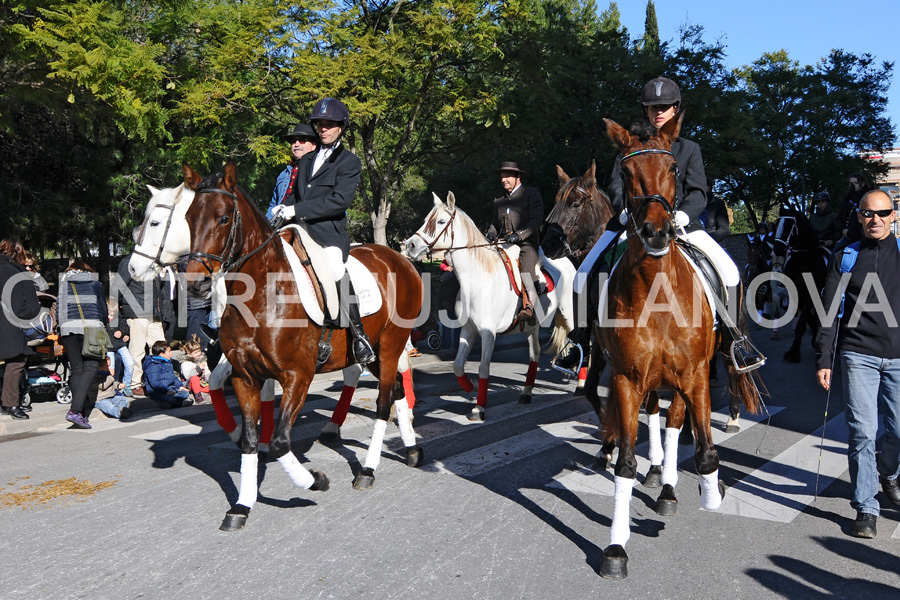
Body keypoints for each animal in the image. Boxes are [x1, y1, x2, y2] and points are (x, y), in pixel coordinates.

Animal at [126, 186, 414, 446]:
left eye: (155, 222)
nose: (133, 268)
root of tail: (397, 257)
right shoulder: (241, 352)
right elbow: (223, 382)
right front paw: (248, 434)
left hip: (383, 340)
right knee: (371, 376)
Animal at [182, 163, 426, 528]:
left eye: (224, 218)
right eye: (188, 217)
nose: (195, 285)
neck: (261, 293)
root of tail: (399, 258)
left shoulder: (298, 375)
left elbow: (281, 443)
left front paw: (315, 480)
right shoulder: (244, 378)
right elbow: (250, 441)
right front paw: (241, 506)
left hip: (391, 344)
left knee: (384, 402)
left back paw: (368, 469)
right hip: (376, 352)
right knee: (395, 388)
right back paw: (410, 449)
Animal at [404, 195, 572, 420]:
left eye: (440, 221)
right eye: (425, 220)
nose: (410, 245)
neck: (477, 278)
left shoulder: (488, 332)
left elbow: (484, 367)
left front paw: (479, 407)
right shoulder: (468, 330)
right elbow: (458, 365)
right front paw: (471, 387)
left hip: (570, 314)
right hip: (532, 326)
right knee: (534, 354)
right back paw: (526, 393)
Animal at [596, 115, 760, 580]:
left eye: (673, 169)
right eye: (625, 173)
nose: (656, 232)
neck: (656, 293)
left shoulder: (694, 375)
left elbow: (705, 452)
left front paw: (711, 492)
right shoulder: (628, 379)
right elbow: (626, 463)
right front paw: (616, 547)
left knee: (676, 422)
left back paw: (672, 487)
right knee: (661, 418)